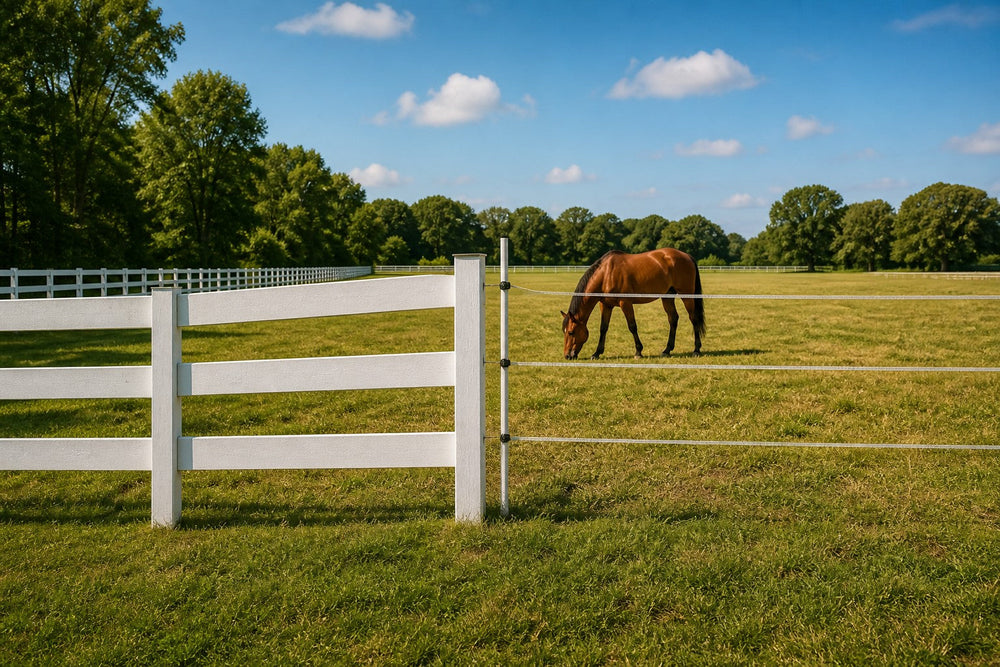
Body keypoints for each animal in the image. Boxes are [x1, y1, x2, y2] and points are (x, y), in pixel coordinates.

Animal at [561, 247, 706, 360]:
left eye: (571, 332)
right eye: (565, 332)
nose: (567, 356)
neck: (606, 274)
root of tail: (687, 256)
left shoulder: (625, 303)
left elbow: (632, 326)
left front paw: (638, 351)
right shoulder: (606, 305)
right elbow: (603, 328)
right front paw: (596, 353)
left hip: (687, 296)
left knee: (693, 318)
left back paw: (696, 350)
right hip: (667, 296)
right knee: (673, 319)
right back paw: (667, 350)